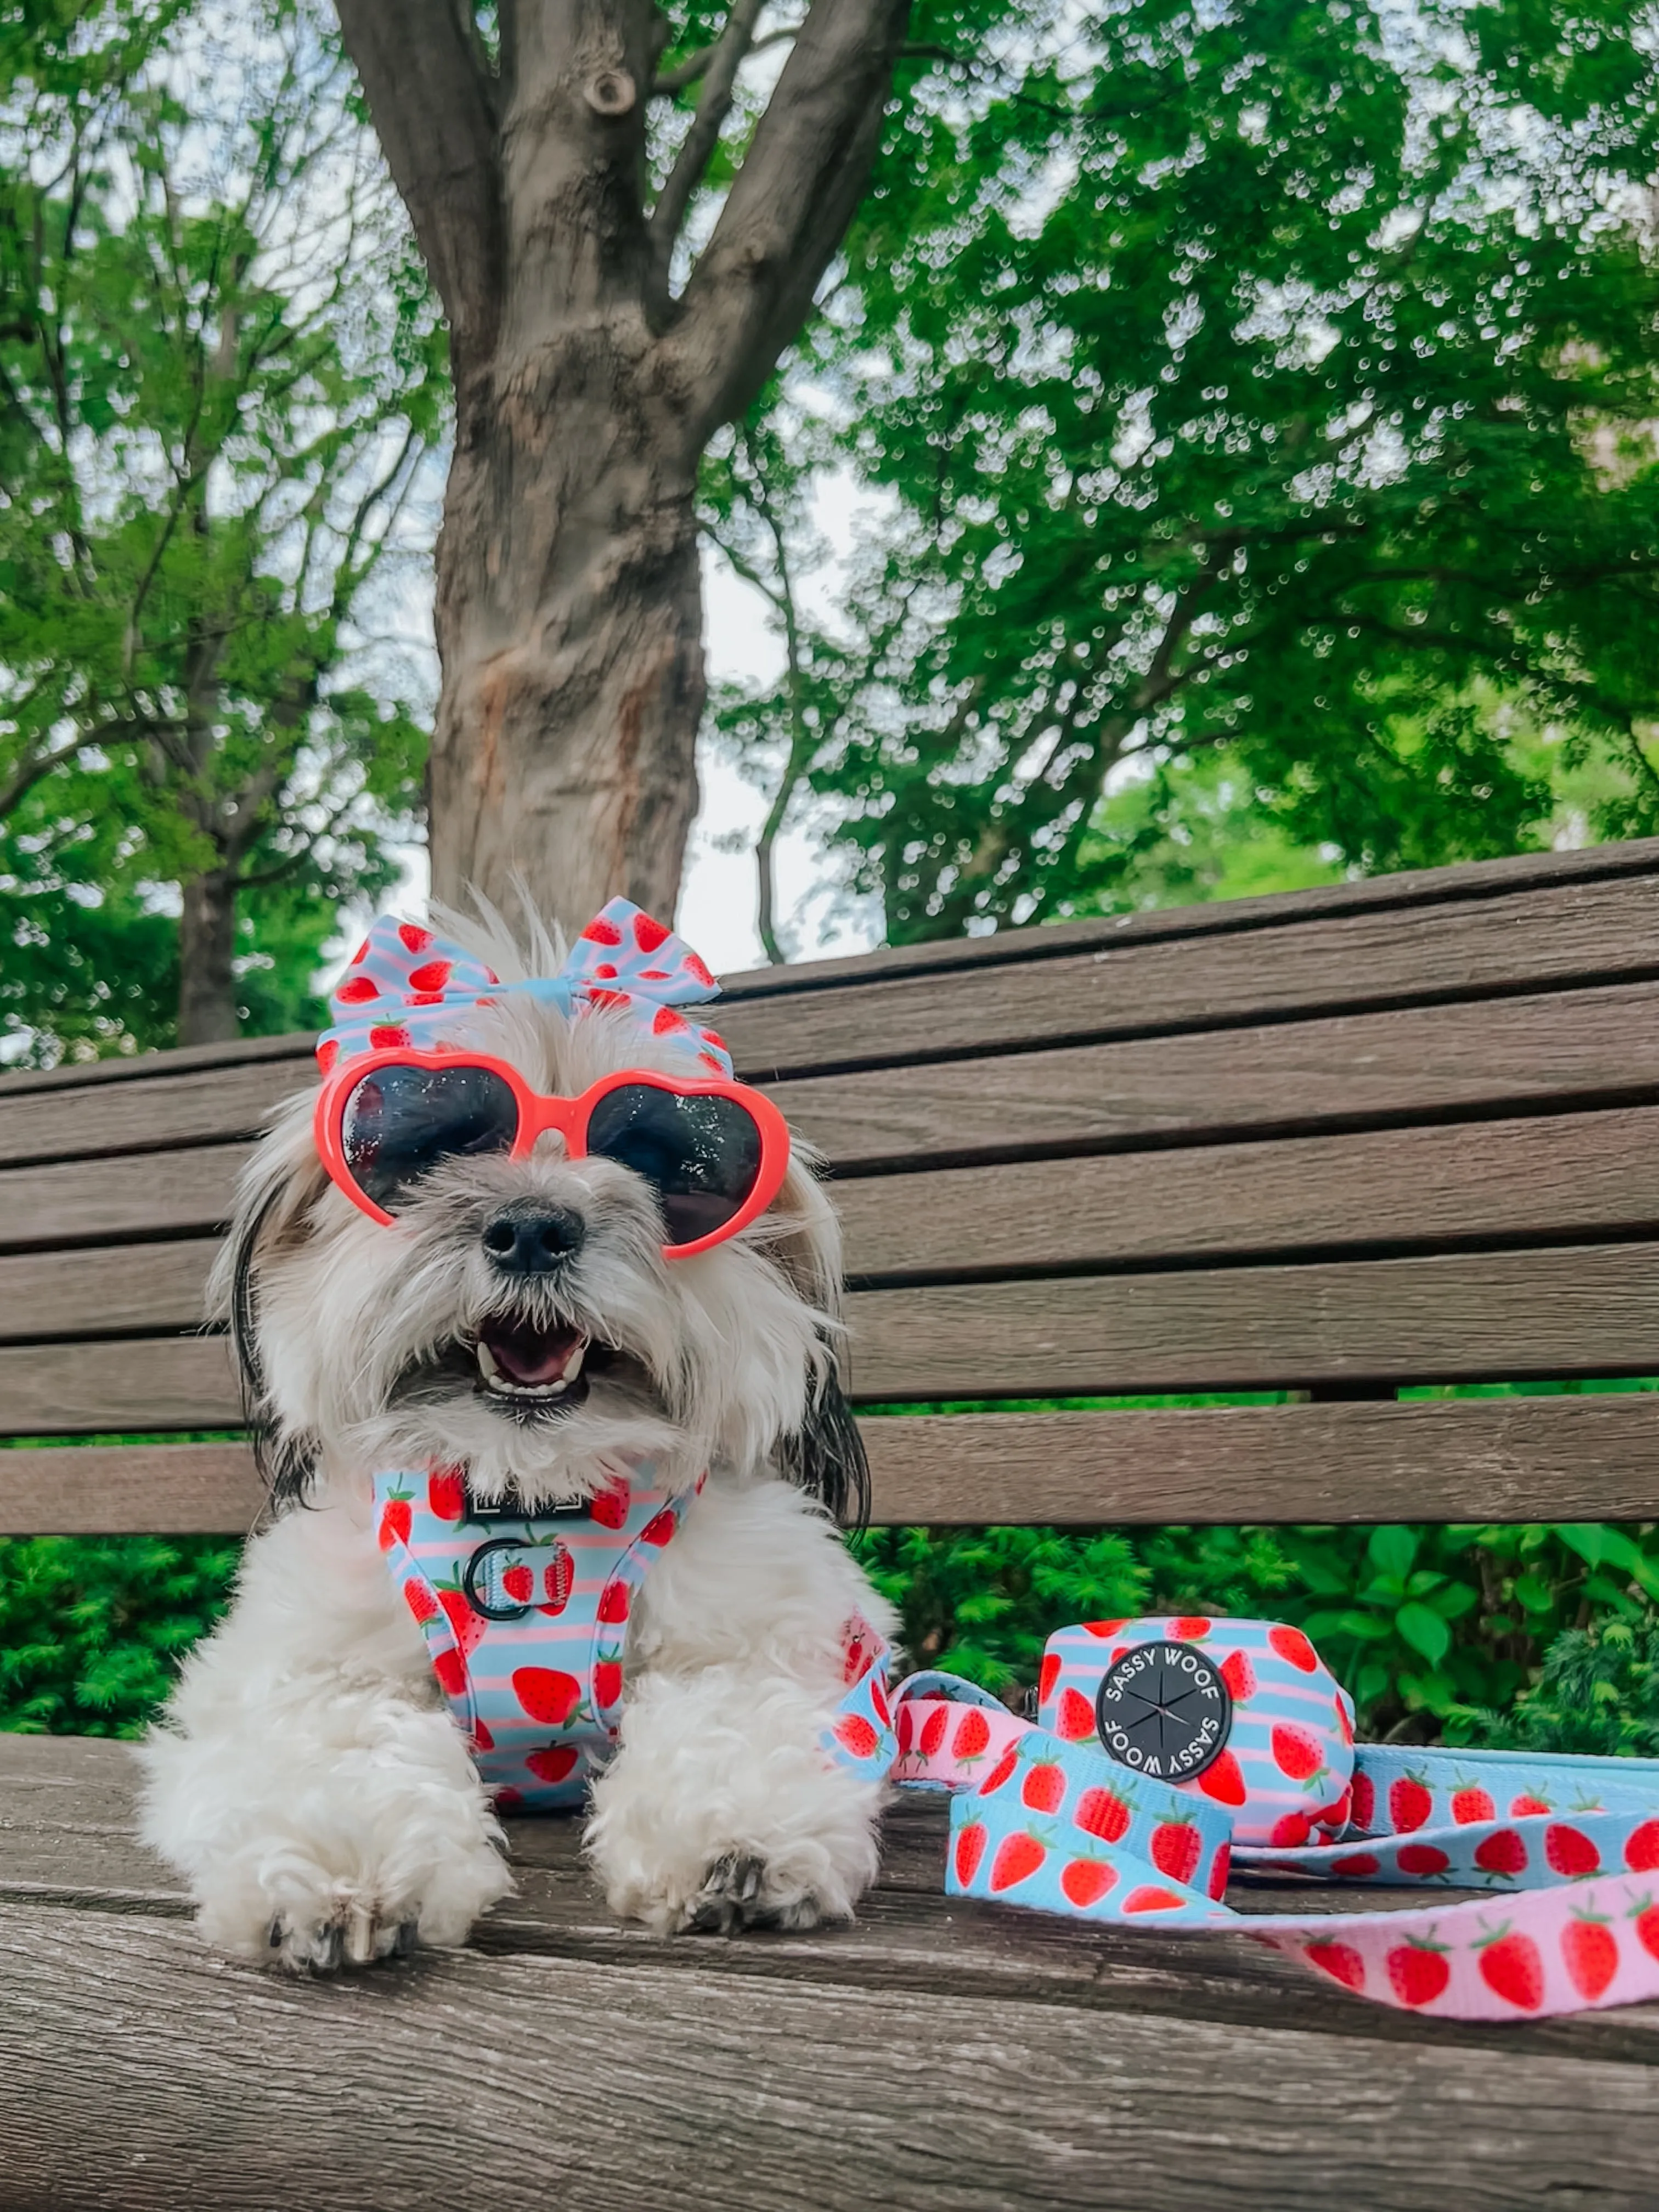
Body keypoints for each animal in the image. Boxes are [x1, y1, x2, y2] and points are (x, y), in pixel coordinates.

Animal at [140, 898, 898, 1973]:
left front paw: (735, 1841)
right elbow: (339, 1741)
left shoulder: (769, 1645)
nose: (535, 1225)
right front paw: (338, 1867)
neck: (529, 1499)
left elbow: (732, 1716)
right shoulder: (298, 1669)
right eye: (424, 1147)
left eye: (663, 1161)